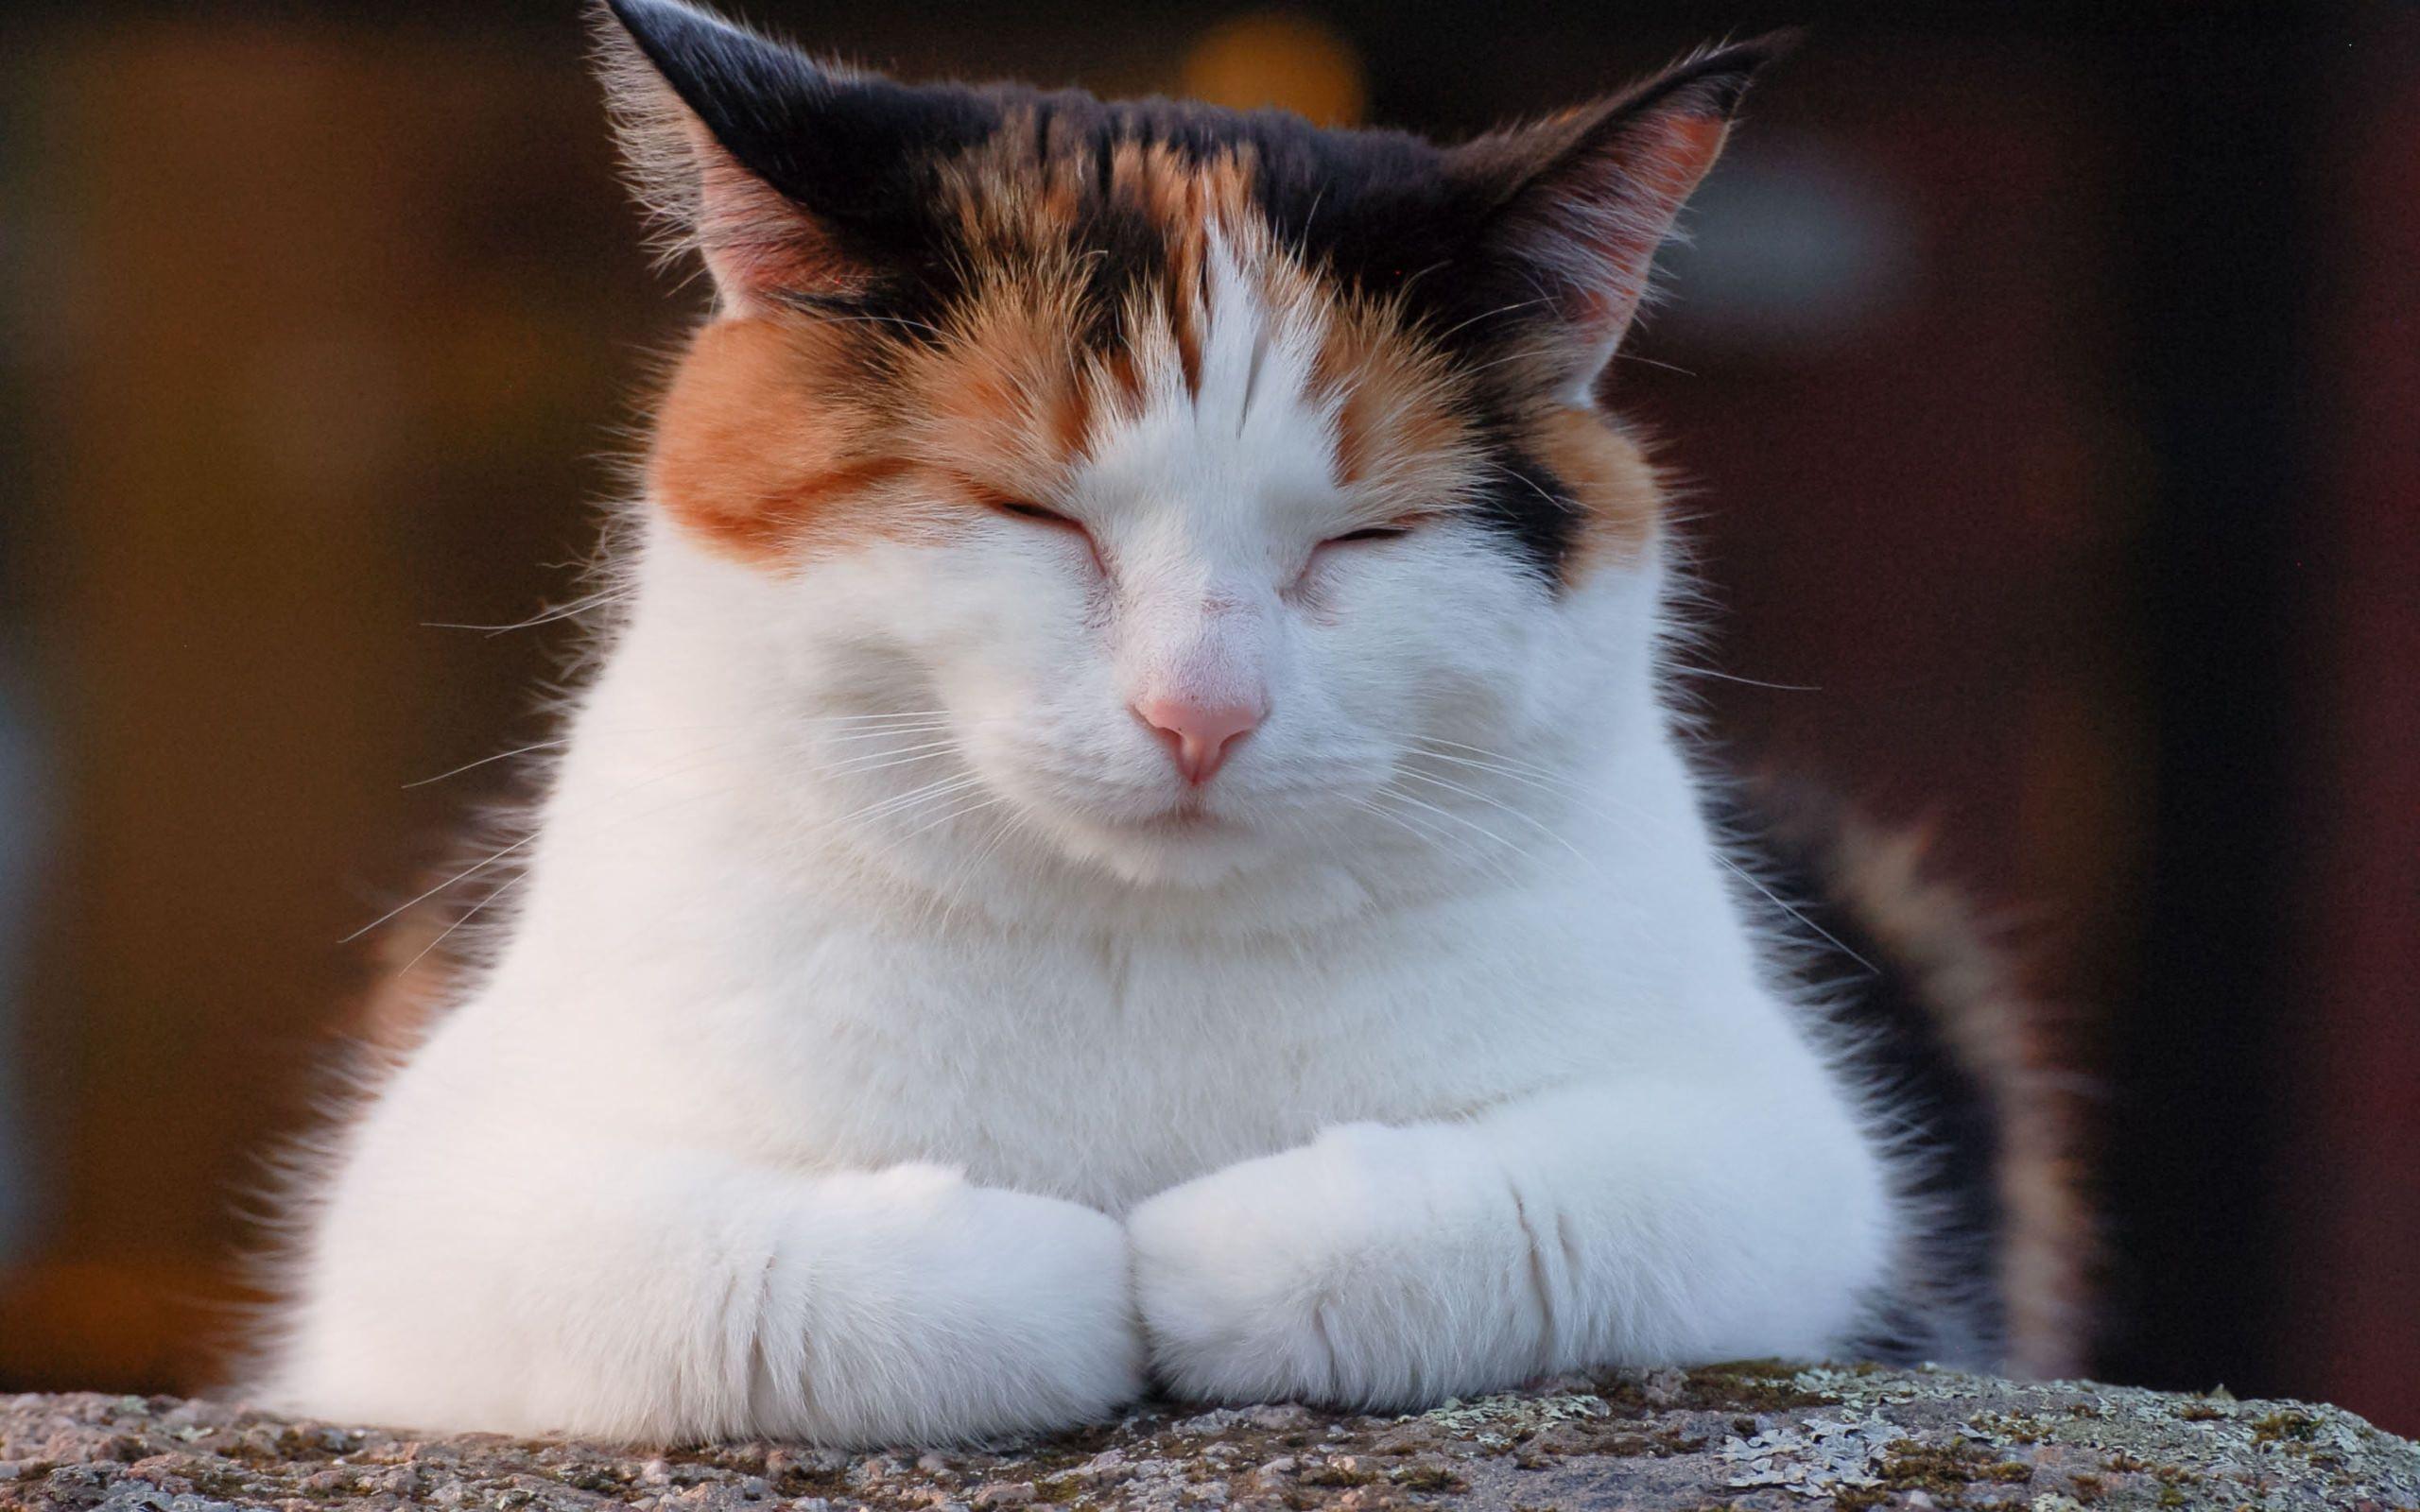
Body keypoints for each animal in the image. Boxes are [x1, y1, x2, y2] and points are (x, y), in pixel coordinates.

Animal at [255, 0, 2090, 1441]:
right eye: (1031, 514)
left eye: (1362, 540)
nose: (1198, 711)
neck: (1137, 953)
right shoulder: (427, 1206)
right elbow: (743, 1279)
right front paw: (1065, 1272)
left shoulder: (1780, 1154)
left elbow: (1520, 1221)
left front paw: (1192, 1263)